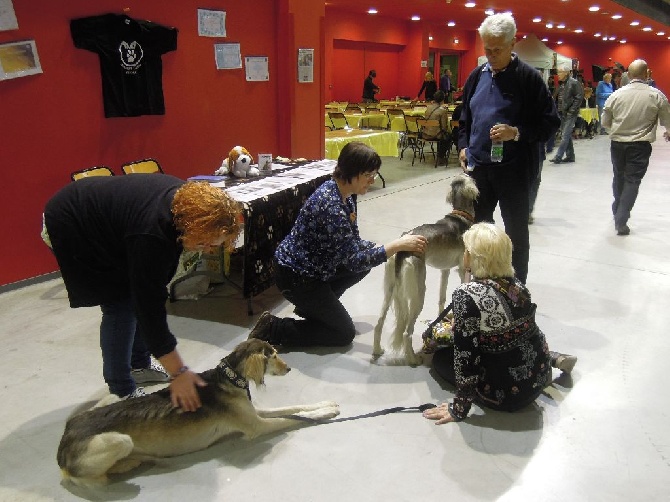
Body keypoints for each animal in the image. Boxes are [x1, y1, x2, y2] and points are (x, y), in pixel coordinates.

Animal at [56, 340, 342, 484]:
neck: (228, 379)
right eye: (271, 356)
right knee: (90, 478)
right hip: (119, 441)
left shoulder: (255, 413)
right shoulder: (256, 426)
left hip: (109, 400)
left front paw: (327, 403)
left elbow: (293, 408)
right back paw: (127, 463)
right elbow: (292, 417)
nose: (289, 369)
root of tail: (63, 443)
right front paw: (325, 414)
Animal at [372, 175, 478, 366]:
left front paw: (442, 319)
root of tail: (403, 246)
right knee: (406, 332)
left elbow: (442, 299)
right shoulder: (462, 270)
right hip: (419, 291)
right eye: (470, 177)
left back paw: (377, 350)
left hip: (390, 288)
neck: (460, 215)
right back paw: (413, 359)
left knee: (379, 322)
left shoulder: (445, 270)